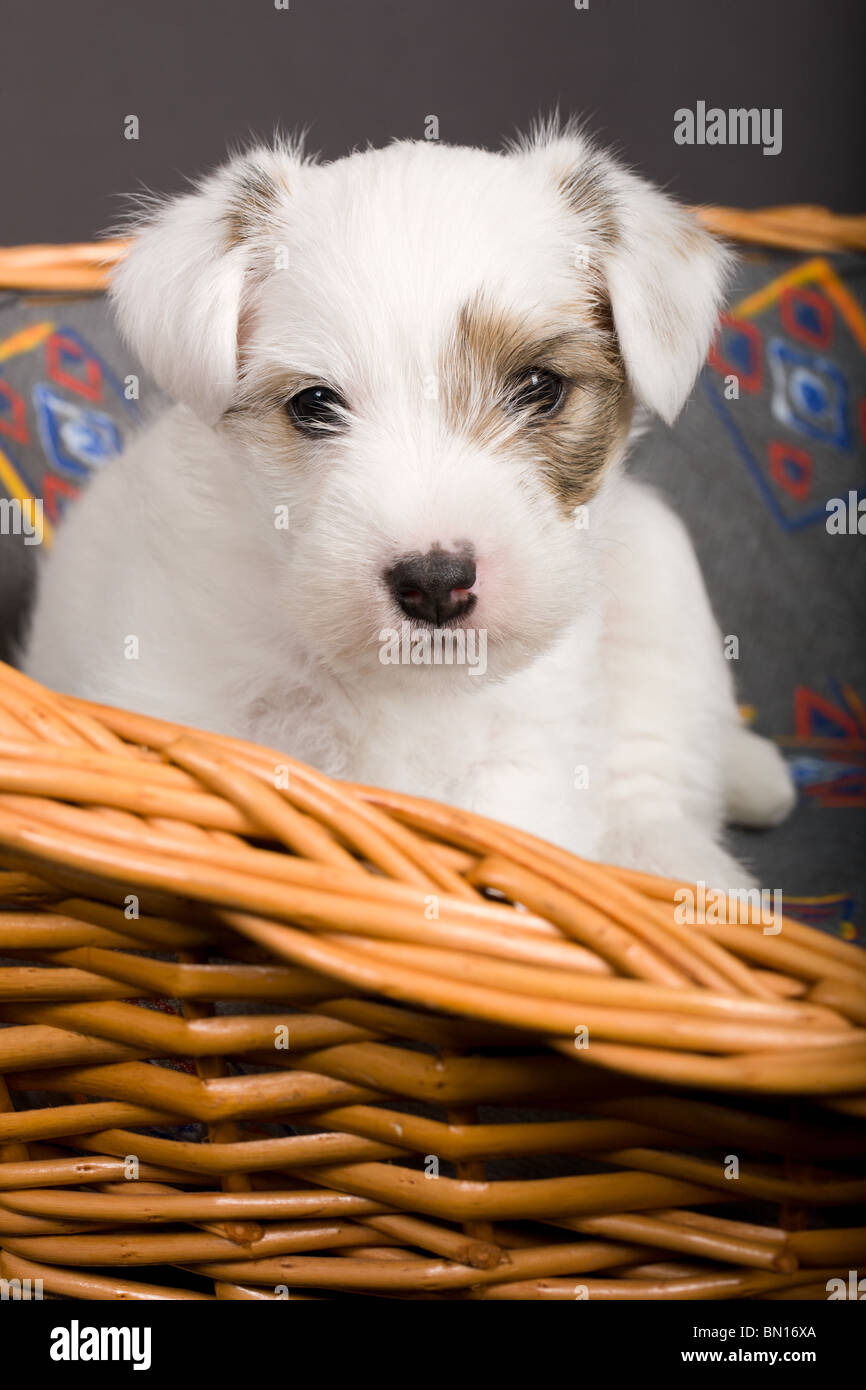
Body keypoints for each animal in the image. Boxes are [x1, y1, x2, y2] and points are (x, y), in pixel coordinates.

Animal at [22, 122, 795, 878]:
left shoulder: (525, 767)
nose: (435, 582)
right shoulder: (175, 702)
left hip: (659, 577)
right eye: (314, 404)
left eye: (539, 386)